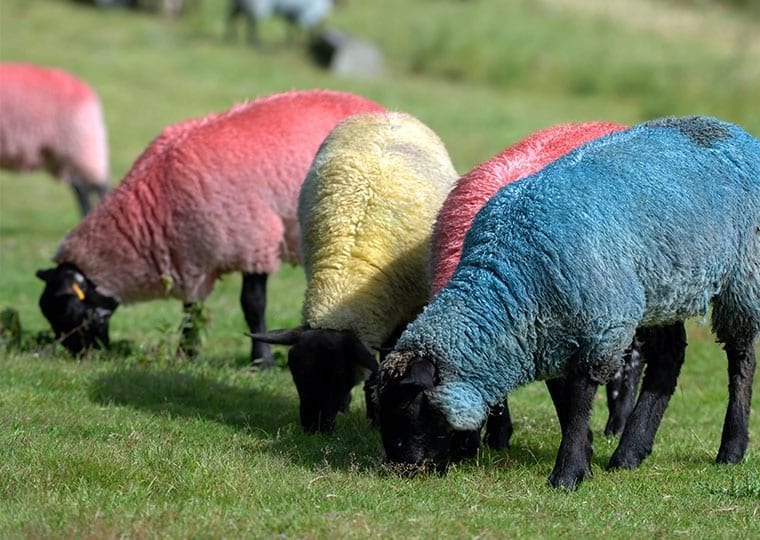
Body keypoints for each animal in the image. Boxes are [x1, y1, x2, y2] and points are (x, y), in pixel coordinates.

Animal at [34, 89, 386, 368]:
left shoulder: (253, 242)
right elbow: (192, 310)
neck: (150, 207)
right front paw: (185, 354)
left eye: (69, 312)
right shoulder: (191, 258)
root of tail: (376, 106)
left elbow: (252, 305)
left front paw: (262, 361)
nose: (81, 357)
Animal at [252, 112, 460, 432]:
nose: (314, 429)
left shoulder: (403, 310)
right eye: (295, 373)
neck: (346, 280)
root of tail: (392, 113)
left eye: (339, 374)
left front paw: (375, 414)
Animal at [376, 117, 760, 490]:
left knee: (741, 357)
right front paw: (584, 458)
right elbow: (564, 400)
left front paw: (568, 474)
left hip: (743, 275)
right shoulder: (549, 333)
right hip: (664, 288)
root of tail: (737, 132)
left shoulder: (600, 329)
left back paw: (731, 448)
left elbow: (577, 403)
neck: (510, 277)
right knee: (669, 358)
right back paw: (630, 453)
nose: (401, 469)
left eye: (410, 402)